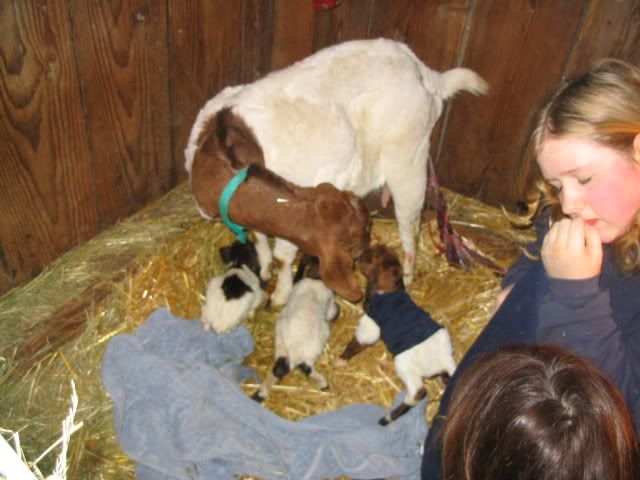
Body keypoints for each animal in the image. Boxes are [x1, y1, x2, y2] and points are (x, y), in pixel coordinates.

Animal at [252, 256, 339, 402]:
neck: (315, 278)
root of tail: (294, 351)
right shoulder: (329, 301)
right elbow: (334, 312)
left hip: (281, 343)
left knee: (279, 368)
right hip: (312, 348)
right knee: (305, 367)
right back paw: (323, 383)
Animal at [338, 244, 456, 425]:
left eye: (370, 258)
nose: (358, 257)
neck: (388, 291)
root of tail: (443, 360)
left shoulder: (371, 325)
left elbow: (357, 342)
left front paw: (341, 360)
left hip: (404, 365)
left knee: (418, 392)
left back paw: (387, 418)